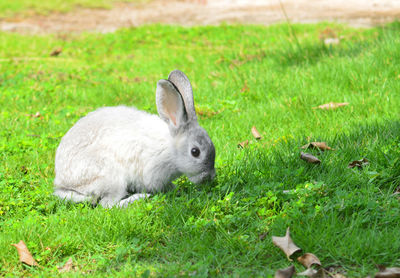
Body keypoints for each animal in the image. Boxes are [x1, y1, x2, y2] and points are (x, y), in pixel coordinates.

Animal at [54, 70, 216, 207]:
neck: (170, 149)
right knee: (107, 205)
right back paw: (138, 198)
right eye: (195, 152)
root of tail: (62, 183)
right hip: (112, 177)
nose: (210, 177)